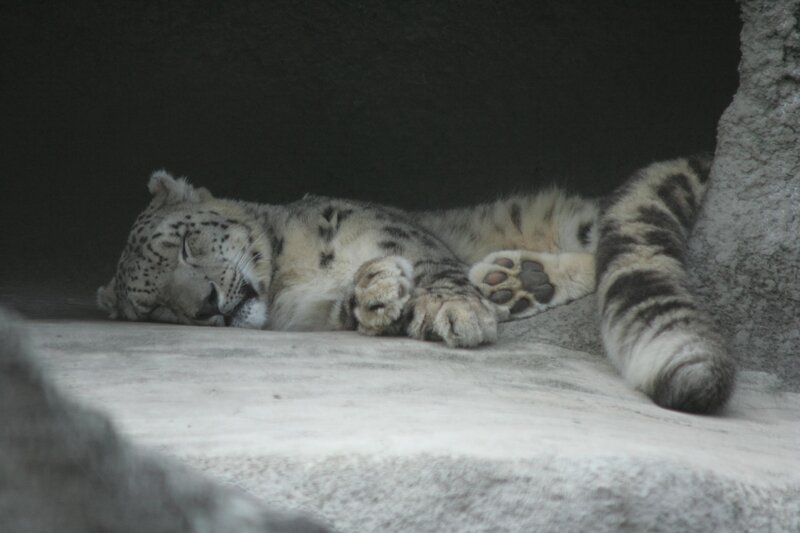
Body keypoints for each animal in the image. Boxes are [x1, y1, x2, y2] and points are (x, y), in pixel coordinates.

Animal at [98, 155, 735, 414]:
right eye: (154, 306)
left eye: (186, 242)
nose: (206, 304)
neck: (291, 276)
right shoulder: (311, 312)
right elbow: (354, 304)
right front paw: (377, 292)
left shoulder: (389, 227)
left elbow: (432, 265)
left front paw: (458, 313)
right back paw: (516, 282)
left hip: (584, 219)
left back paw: (509, 282)